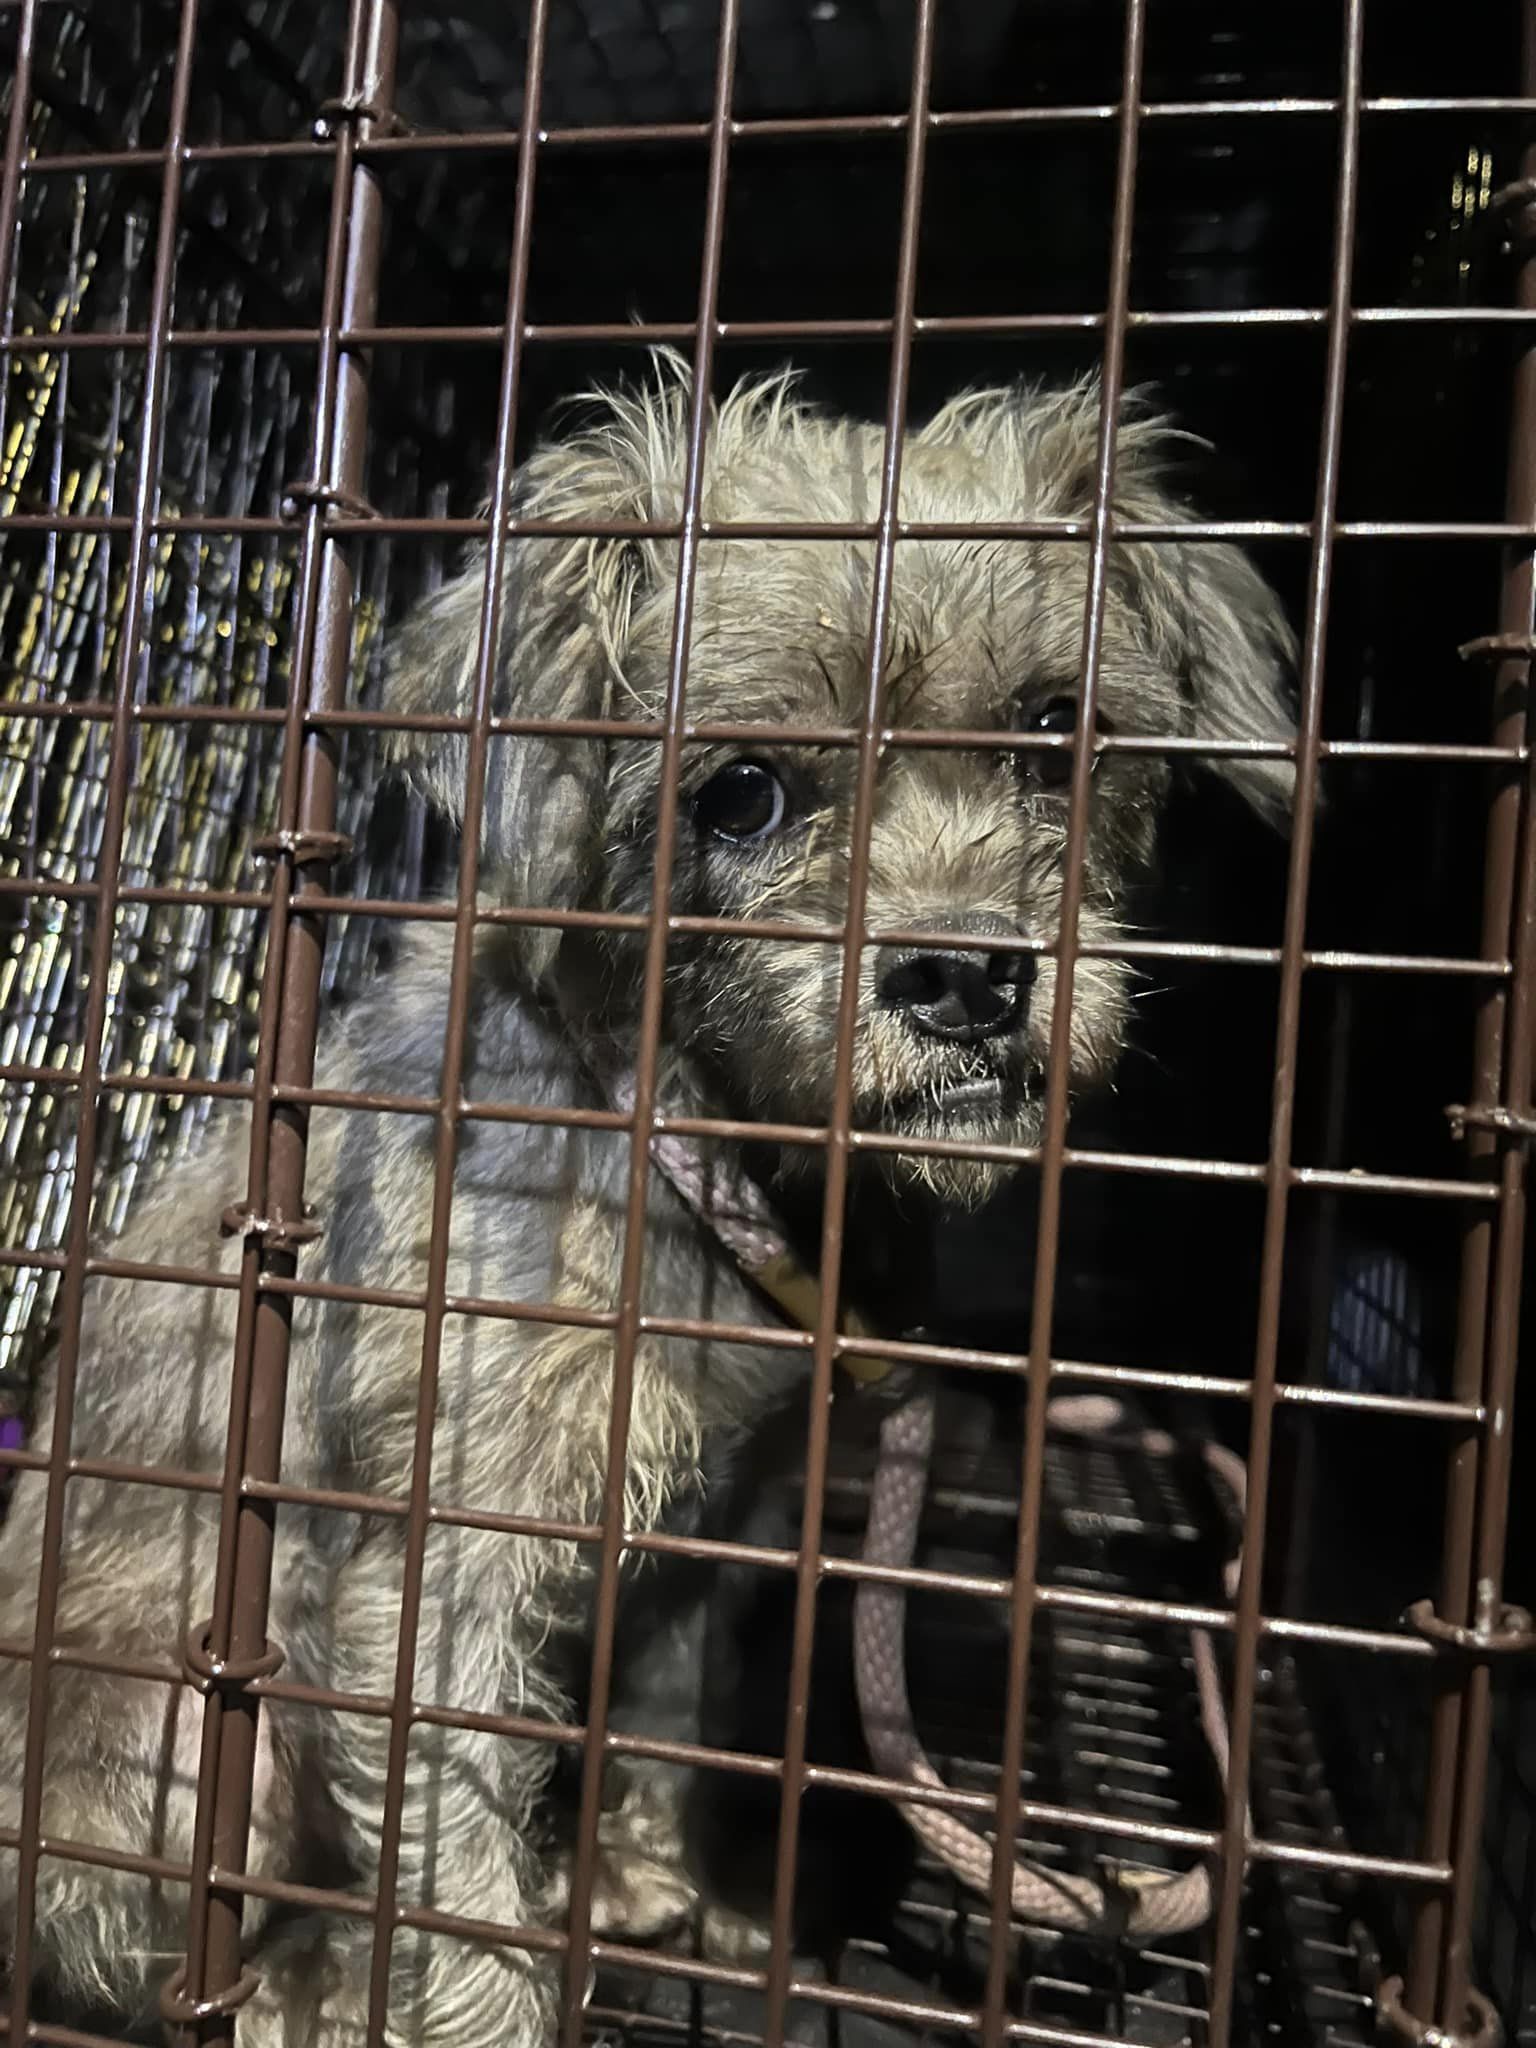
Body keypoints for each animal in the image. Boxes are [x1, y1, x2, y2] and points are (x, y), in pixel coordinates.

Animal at [0, 360, 1302, 2039]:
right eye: (738, 793)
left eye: (1053, 735)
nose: (965, 976)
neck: (678, 1130)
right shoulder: (432, 1583)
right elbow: (450, 1874)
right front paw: (481, 1981)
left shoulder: (710, 1522)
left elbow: (667, 1712)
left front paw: (646, 1882)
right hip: (176, 1736)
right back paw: (304, 1983)